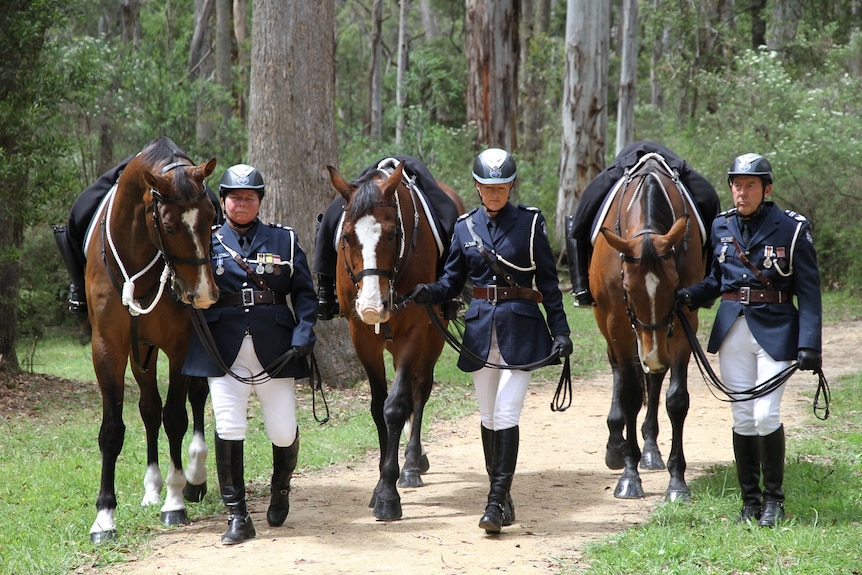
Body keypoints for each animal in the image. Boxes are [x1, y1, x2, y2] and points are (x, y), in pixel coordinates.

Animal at [85, 137, 219, 544]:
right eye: (171, 226)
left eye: (212, 216)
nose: (202, 294)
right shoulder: (108, 349)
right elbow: (114, 430)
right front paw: (104, 517)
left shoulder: (180, 345)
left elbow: (176, 416)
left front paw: (174, 500)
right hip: (140, 351)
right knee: (148, 408)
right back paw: (151, 488)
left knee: (194, 398)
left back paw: (193, 477)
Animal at [328, 159, 466, 520]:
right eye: (347, 236)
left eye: (392, 234)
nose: (372, 306)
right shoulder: (362, 337)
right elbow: (378, 407)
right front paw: (379, 483)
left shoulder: (414, 334)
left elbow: (396, 406)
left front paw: (388, 493)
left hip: (433, 336)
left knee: (420, 390)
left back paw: (413, 463)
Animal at [592, 153, 708, 504]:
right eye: (629, 291)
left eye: (673, 288)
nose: (654, 355)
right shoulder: (618, 322)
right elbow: (630, 393)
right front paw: (630, 476)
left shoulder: (682, 322)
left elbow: (676, 399)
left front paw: (676, 480)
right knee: (621, 371)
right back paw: (616, 442)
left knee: (653, 379)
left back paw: (651, 448)